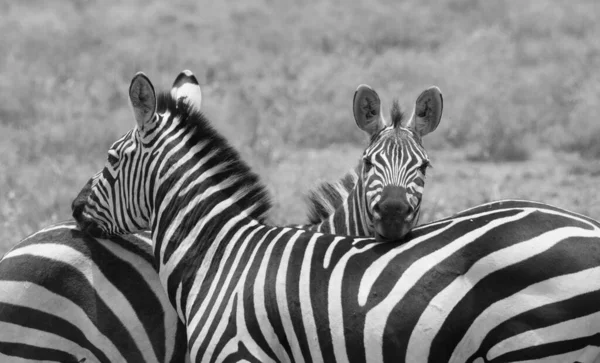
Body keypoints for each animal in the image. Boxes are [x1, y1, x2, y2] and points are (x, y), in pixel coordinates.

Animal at [74, 69, 600, 362]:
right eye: (367, 164)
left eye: (112, 158)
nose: (75, 208)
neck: (219, 257)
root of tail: (587, 225)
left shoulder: (239, 353)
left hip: (539, 347)